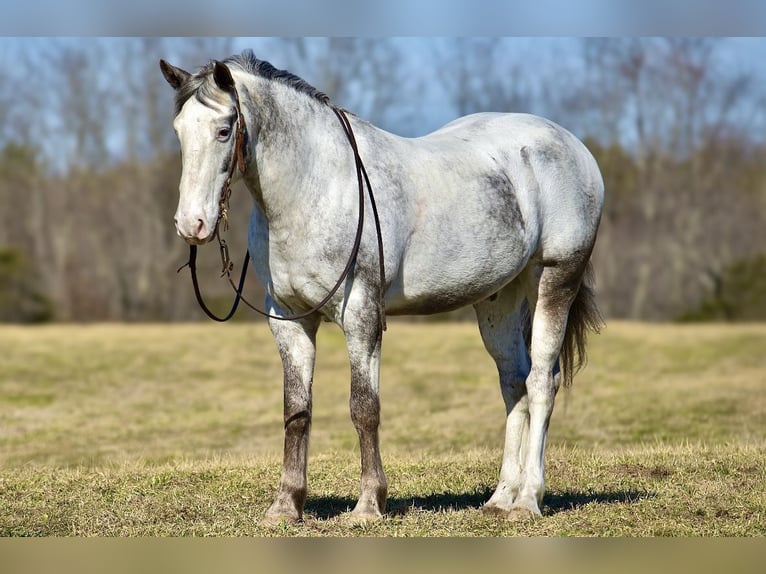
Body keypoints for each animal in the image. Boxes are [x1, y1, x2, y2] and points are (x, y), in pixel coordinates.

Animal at [160, 50, 608, 528]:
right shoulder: (289, 320)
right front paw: (285, 506)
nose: (192, 224)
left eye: (224, 130)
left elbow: (364, 408)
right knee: (514, 384)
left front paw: (369, 505)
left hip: (555, 279)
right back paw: (501, 497)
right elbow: (296, 411)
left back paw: (527, 500)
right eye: (179, 131)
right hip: (499, 299)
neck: (316, 186)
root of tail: (572, 145)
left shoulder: (361, 313)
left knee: (542, 381)